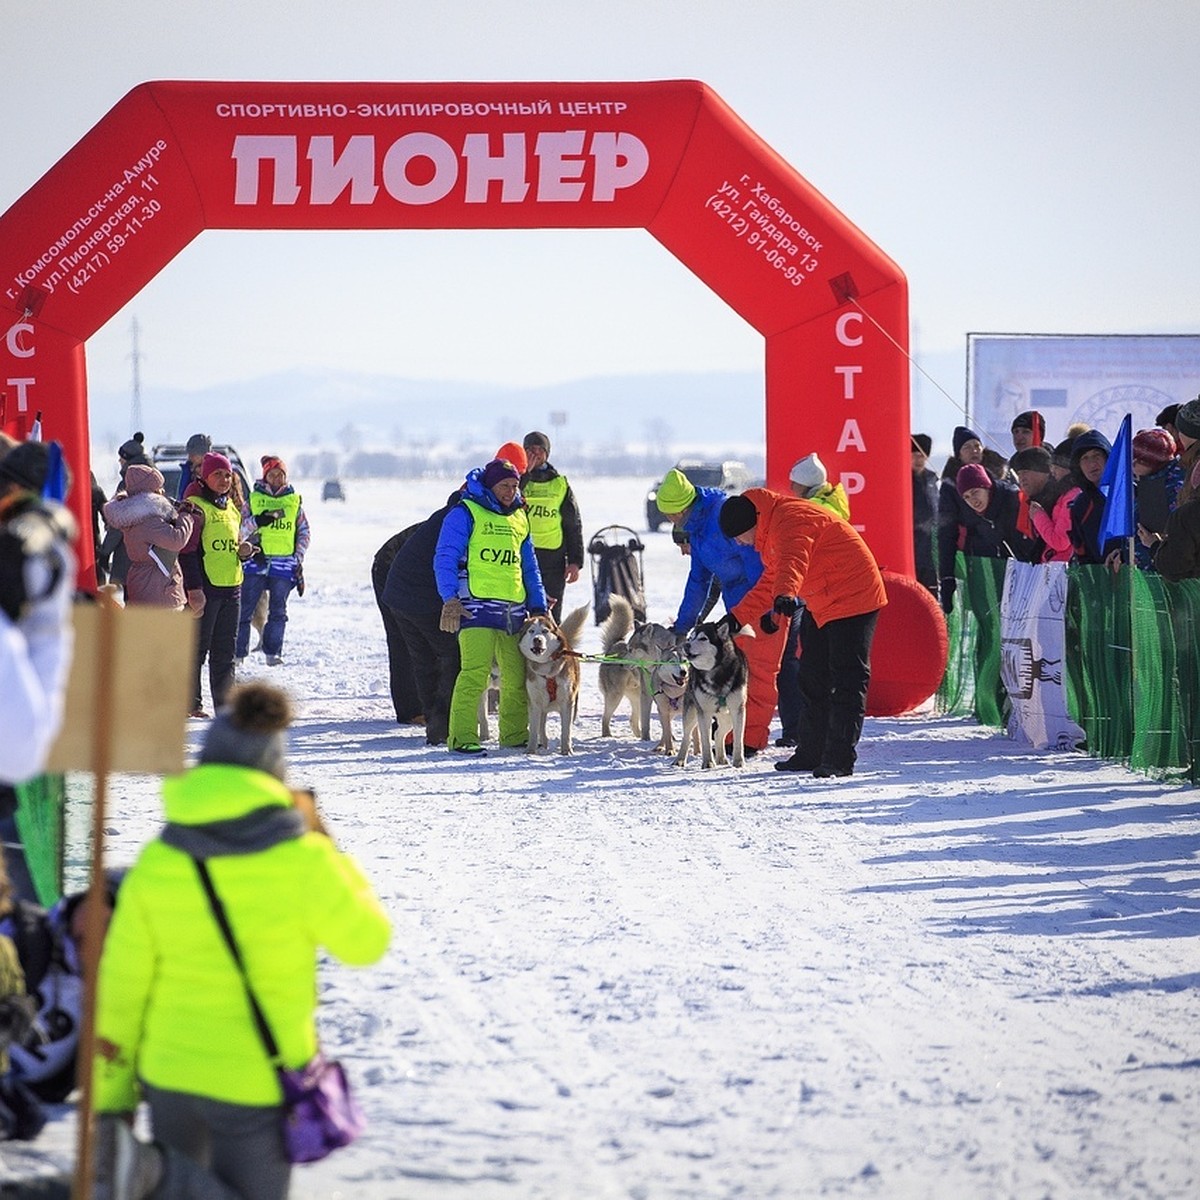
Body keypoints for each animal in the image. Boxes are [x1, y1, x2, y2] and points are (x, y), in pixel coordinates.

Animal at [518, 604, 588, 753]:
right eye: (531, 631)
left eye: (545, 631)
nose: (537, 639)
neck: (547, 670)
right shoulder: (534, 702)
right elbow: (534, 729)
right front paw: (530, 751)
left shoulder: (567, 701)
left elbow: (566, 730)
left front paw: (566, 751)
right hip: (542, 707)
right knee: (541, 726)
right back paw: (543, 744)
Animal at [676, 614, 748, 772]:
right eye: (690, 638)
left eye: (703, 638)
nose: (686, 645)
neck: (717, 673)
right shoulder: (704, 712)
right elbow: (705, 741)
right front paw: (708, 762)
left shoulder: (737, 710)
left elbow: (738, 739)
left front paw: (739, 761)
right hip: (691, 713)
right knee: (687, 736)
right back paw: (679, 760)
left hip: (727, 717)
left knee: (718, 733)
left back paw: (721, 758)